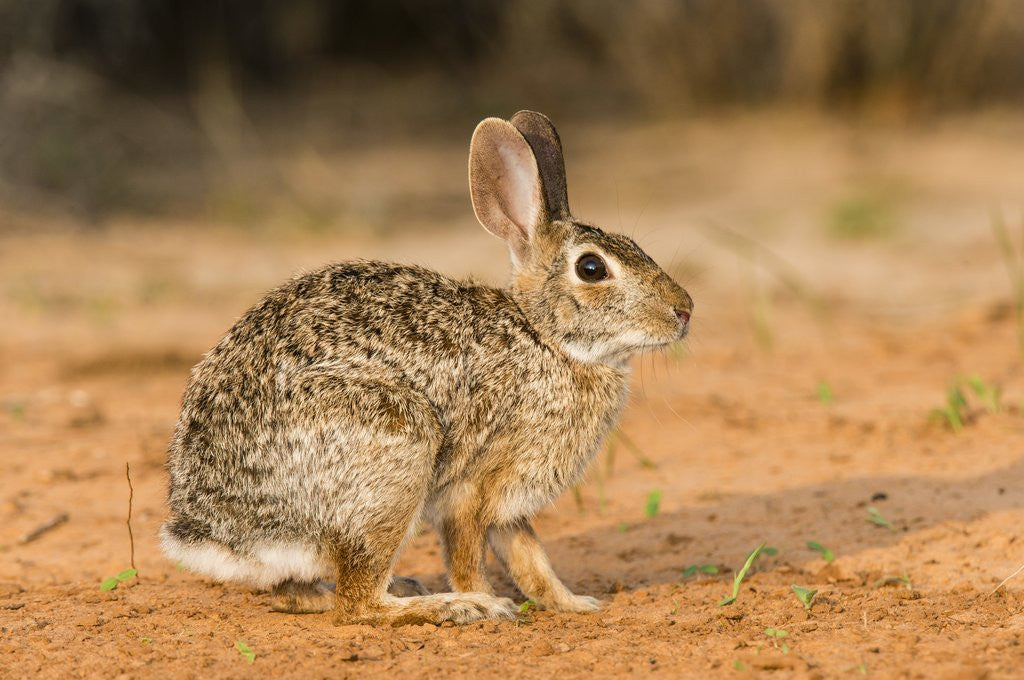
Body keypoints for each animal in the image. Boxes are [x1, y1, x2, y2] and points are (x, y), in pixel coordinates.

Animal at [160, 110, 693, 626]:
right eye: (592, 269)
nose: (684, 310)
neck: (545, 337)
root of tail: (215, 532)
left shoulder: (508, 506)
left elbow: (531, 562)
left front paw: (575, 604)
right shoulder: (472, 491)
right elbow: (471, 558)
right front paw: (487, 602)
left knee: (299, 595)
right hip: (397, 450)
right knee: (357, 605)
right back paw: (449, 607)